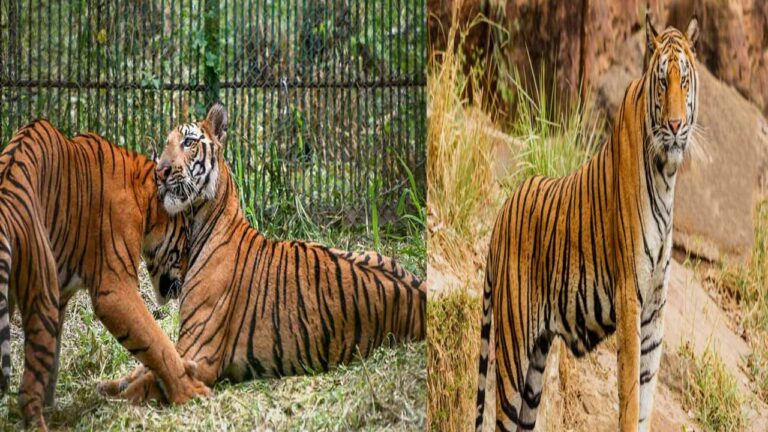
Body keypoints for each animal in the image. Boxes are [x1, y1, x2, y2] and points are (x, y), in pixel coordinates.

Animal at [0, 120, 210, 431]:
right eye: (185, 240)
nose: (187, 276)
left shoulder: (62, 295)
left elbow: (53, 360)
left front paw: (56, 406)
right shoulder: (115, 290)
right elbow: (157, 343)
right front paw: (189, 391)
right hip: (42, 293)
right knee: (27, 390)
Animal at [97, 102, 427, 400]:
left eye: (188, 142)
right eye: (165, 145)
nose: (160, 171)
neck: (199, 223)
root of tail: (422, 294)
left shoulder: (198, 352)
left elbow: (151, 379)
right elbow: (145, 367)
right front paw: (109, 384)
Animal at [474, 15, 699, 432]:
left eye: (685, 81)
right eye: (663, 81)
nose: (676, 125)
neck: (667, 174)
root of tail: (500, 214)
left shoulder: (655, 310)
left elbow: (646, 396)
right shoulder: (630, 299)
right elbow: (629, 396)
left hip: (536, 366)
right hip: (513, 349)